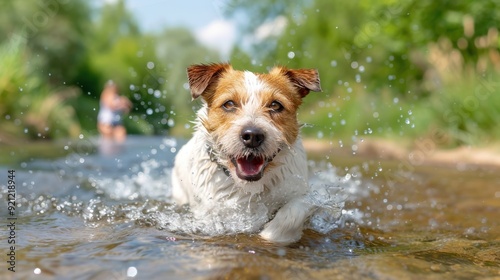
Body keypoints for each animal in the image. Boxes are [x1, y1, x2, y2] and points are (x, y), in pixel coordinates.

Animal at [171, 63, 320, 243]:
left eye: (276, 105)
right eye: (228, 104)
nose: (253, 136)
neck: (250, 187)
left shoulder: (302, 192)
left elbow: (294, 212)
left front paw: (272, 235)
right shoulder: (207, 212)